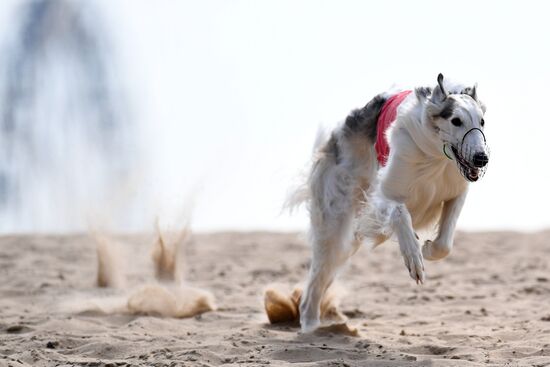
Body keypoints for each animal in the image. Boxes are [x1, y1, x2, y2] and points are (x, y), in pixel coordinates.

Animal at [294, 73, 492, 332]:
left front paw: (427, 249)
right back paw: (309, 325)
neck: (436, 157)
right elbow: (399, 212)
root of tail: (334, 137)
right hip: (335, 219)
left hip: (348, 241)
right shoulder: (384, 192)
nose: (482, 158)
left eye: (482, 121)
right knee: (316, 277)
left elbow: (444, 243)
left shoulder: (455, 192)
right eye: (456, 121)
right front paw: (414, 257)